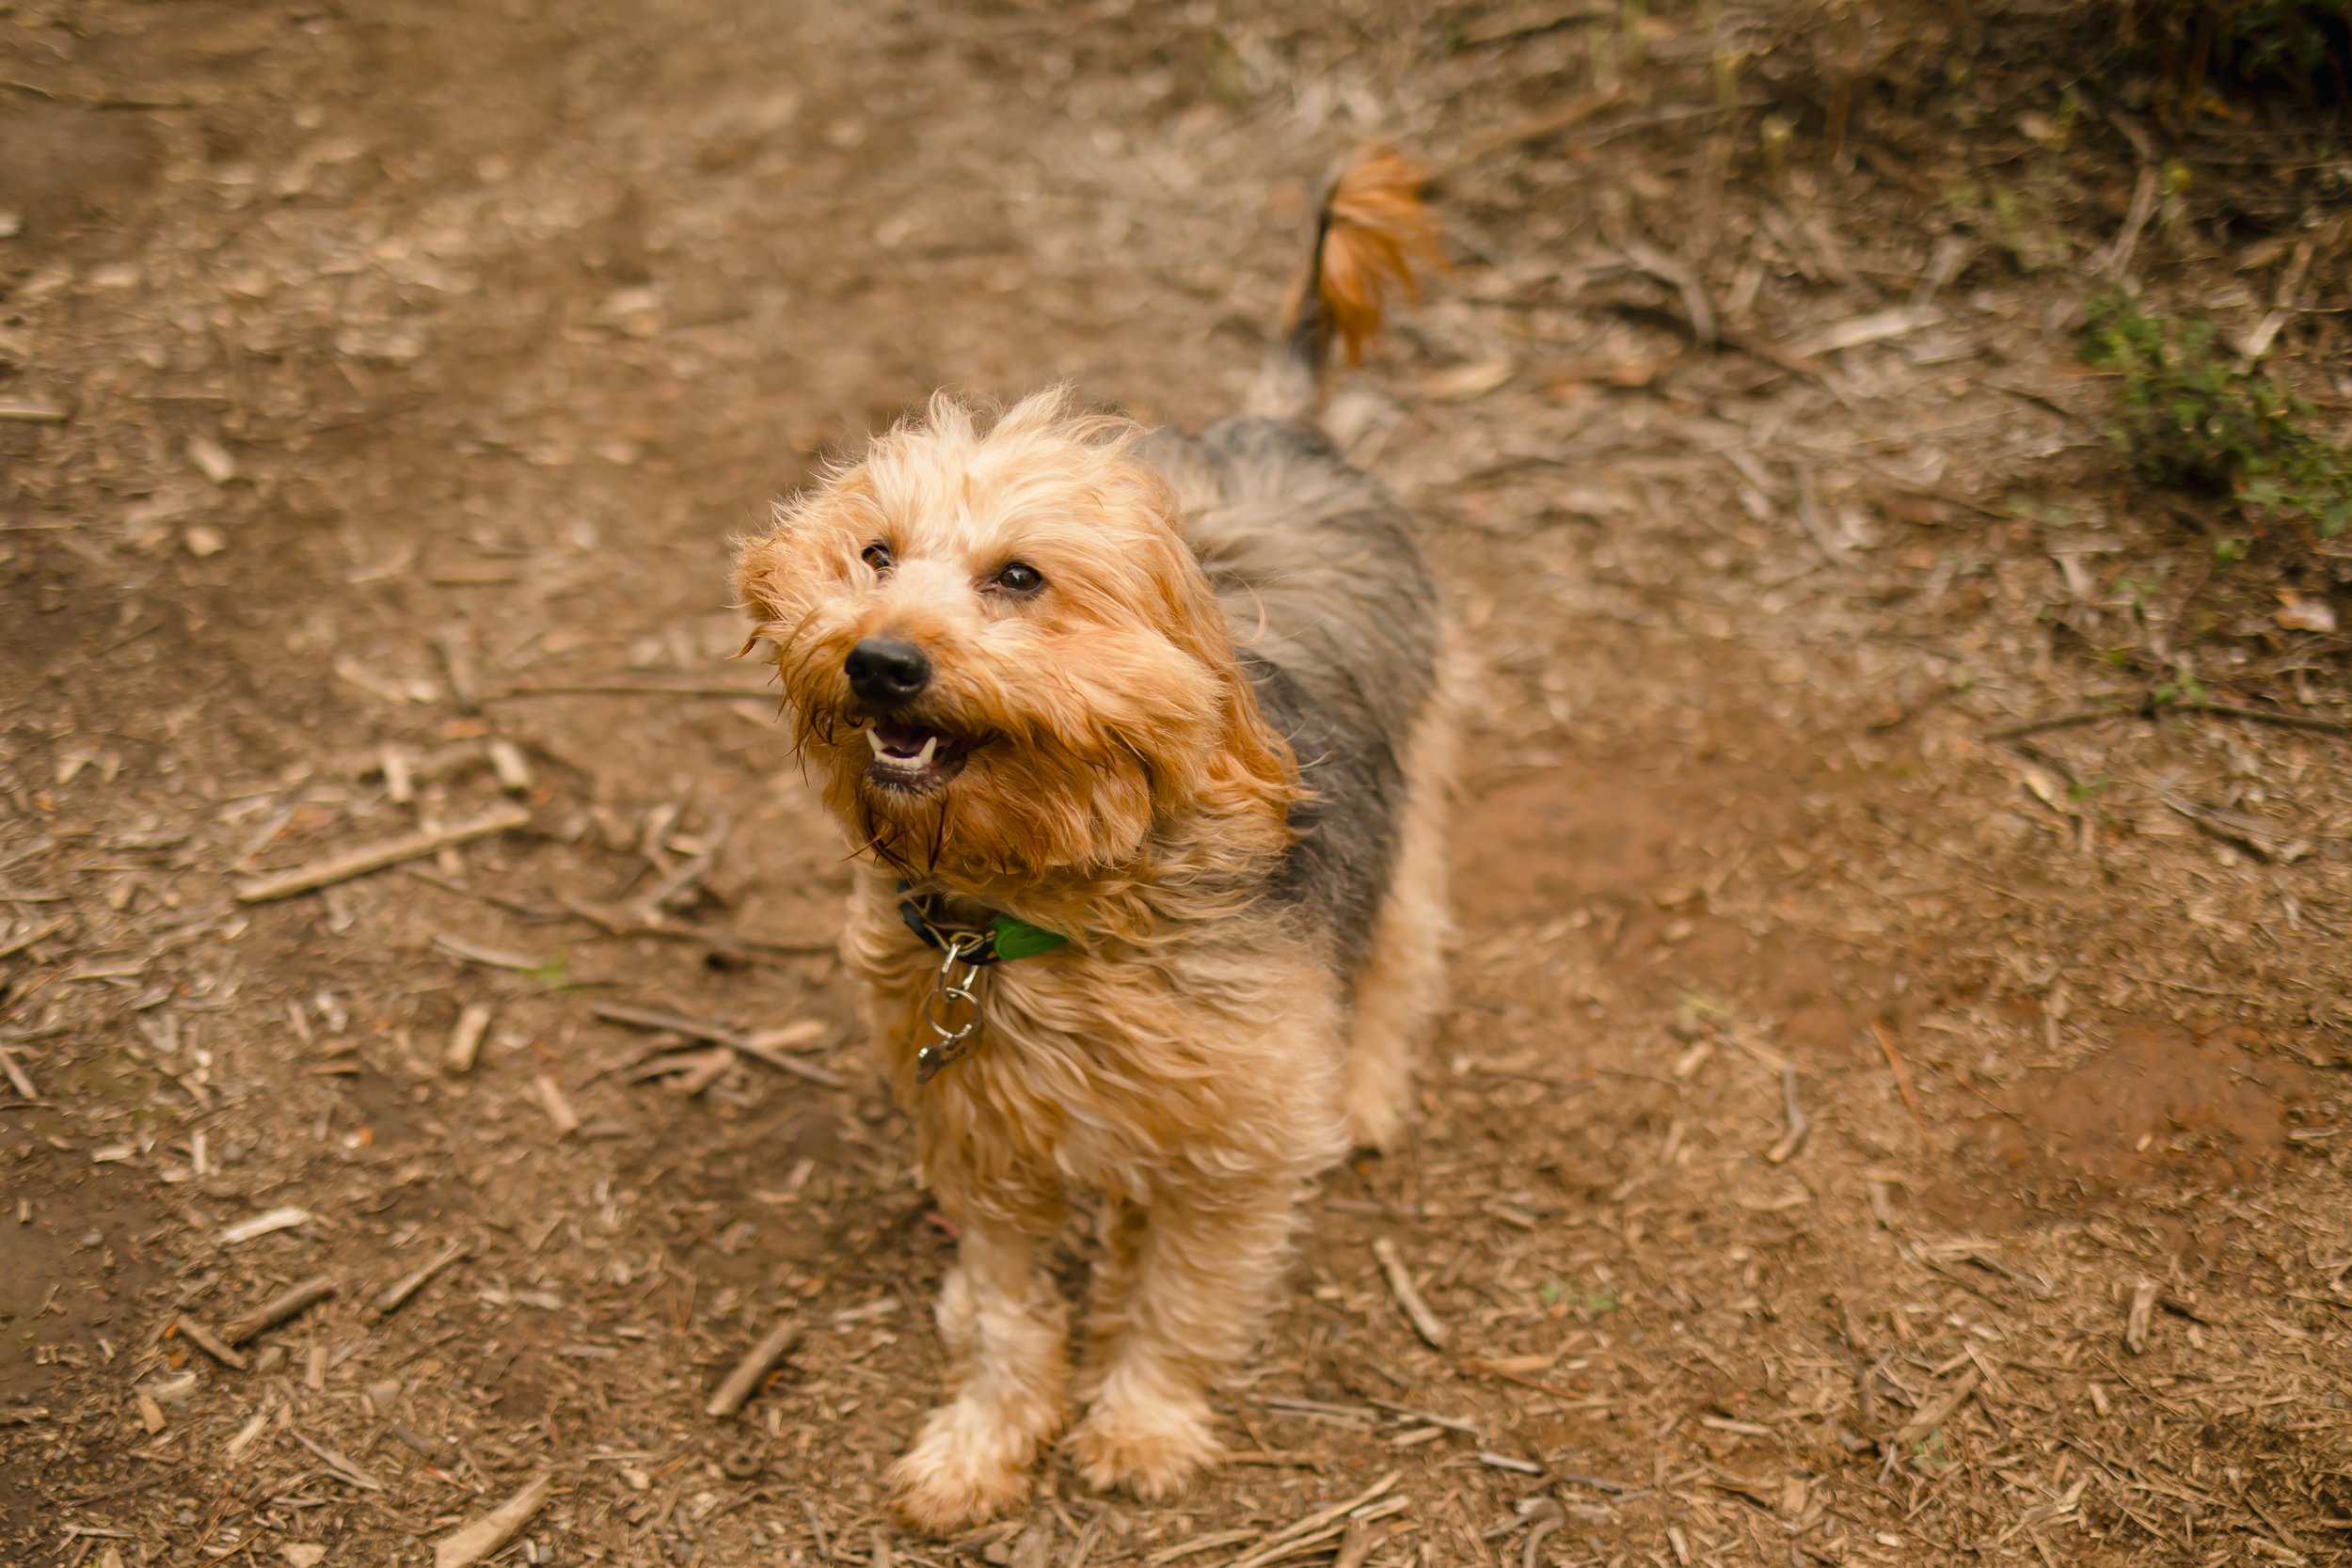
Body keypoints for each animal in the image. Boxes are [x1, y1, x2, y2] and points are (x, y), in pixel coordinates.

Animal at [729, 150, 1449, 1532]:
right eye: (874, 553)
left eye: (1019, 577)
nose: (878, 660)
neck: (1039, 907)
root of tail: (1274, 426)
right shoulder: (982, 1131)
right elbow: (1012, 1316)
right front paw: (981, 1442)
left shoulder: (1234, 1153)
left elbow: (1180, 1301)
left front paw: (1139, 1426)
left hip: (1421, 779)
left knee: (1401, 943)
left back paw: (1369, 1089)